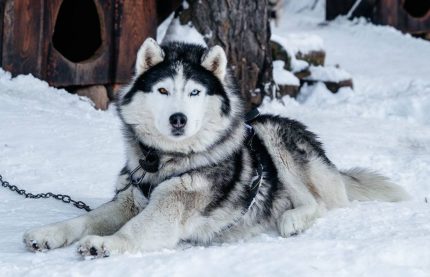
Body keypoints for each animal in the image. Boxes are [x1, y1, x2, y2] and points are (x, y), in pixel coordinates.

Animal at [22, 38, 410, 256]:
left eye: (195, 92)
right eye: (163, 90)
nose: (178, 119)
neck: (164, 161)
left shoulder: (170, 207)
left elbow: (135, 229)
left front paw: (107, 243)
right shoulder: (129, 198)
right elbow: (85, 218)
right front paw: (49, 233)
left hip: (271, 135)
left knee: (319, 204)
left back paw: (292, 219)